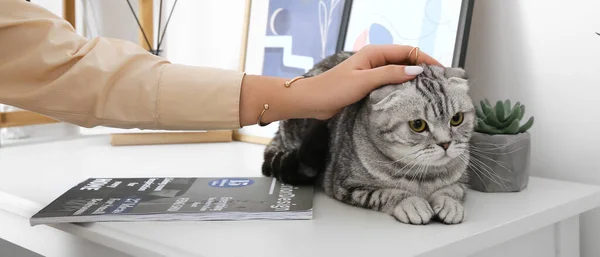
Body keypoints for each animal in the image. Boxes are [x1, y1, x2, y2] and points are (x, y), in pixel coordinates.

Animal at [260, 51, 476, 223]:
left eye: (457, 119)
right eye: (418, 125)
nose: (445, 143)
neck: (425, 178)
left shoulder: (462, 180)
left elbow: (452, 190)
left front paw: (449, 204)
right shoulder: (349, 186)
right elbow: (387, 193)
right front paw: (412, 202)